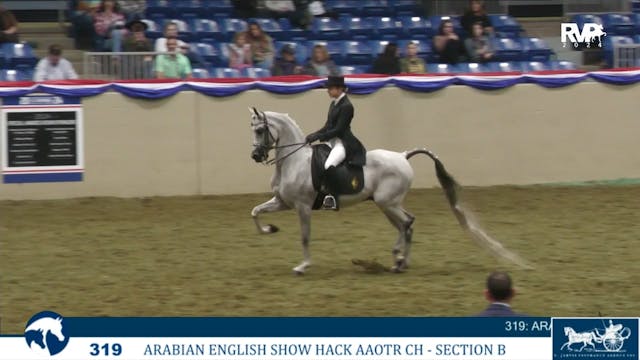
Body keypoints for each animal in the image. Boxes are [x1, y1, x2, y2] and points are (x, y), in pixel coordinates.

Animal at [248, 107, 528, 272]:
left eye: (261, 130)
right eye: (252, 130)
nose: (255, 156)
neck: (292, 161)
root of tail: (403, 156)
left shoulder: (303, 207)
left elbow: (305, 236)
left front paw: (303, 266)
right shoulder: (283, 202)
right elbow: (255, 212)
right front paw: (269, 229)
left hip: (387, 202)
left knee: (407, 223)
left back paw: (399, 259)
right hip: (387, 204)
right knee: (407, 224)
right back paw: (401, 261)